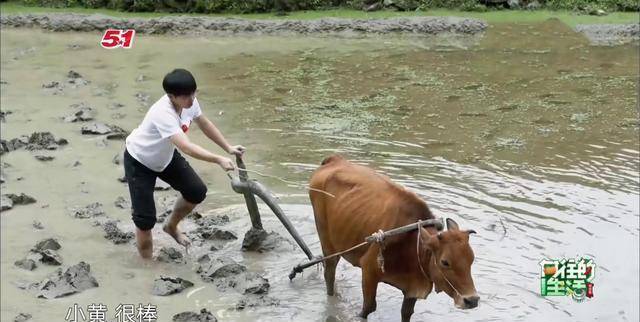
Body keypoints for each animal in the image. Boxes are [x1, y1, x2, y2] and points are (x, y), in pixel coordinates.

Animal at [310, 155, 480, 320]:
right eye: (445, 262)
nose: (472, 300)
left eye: (472, 259)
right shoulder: (369, 271)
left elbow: (406, 313)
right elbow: (368, 308)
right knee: (329, 273)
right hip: (327, 241)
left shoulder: (412, 289)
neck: (411, 242)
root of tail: (335, 160)